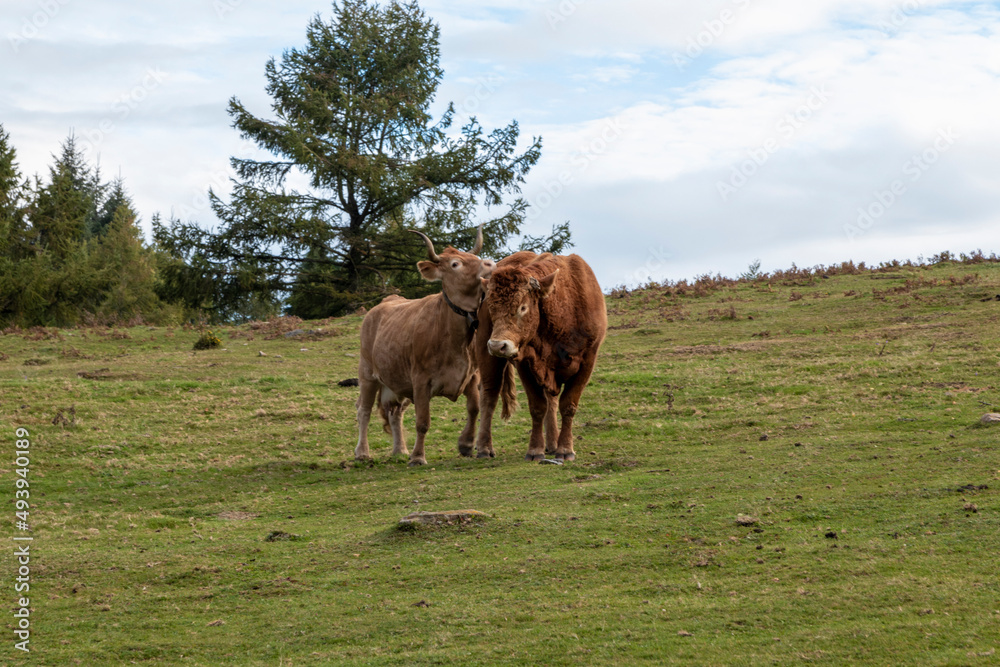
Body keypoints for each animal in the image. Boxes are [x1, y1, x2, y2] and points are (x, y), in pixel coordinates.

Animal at [354, 227, 494, 466]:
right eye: (455, 264)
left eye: (474, 257)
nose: (490, 264)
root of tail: (383, 304)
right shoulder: (420, 380)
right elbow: (422, 422)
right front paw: (418, 457)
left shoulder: (471, 375)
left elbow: (474, 408)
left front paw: (466, 444)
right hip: (367, 374)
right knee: (364, 411)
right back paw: (362, 452)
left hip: (397, 380)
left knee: (394, 412)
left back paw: (400, 450)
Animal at [473, 251, 607, 461]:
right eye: (492, 308)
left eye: (523, 307)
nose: (497, 345)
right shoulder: (526, 364)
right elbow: (537, 407)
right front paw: (535, 450)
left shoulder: (587, 362)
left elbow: (568, 405)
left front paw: (565, 449)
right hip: (486, 352)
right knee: (489, 394)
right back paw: (484, 448)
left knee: (551, 400)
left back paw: (552, 444)